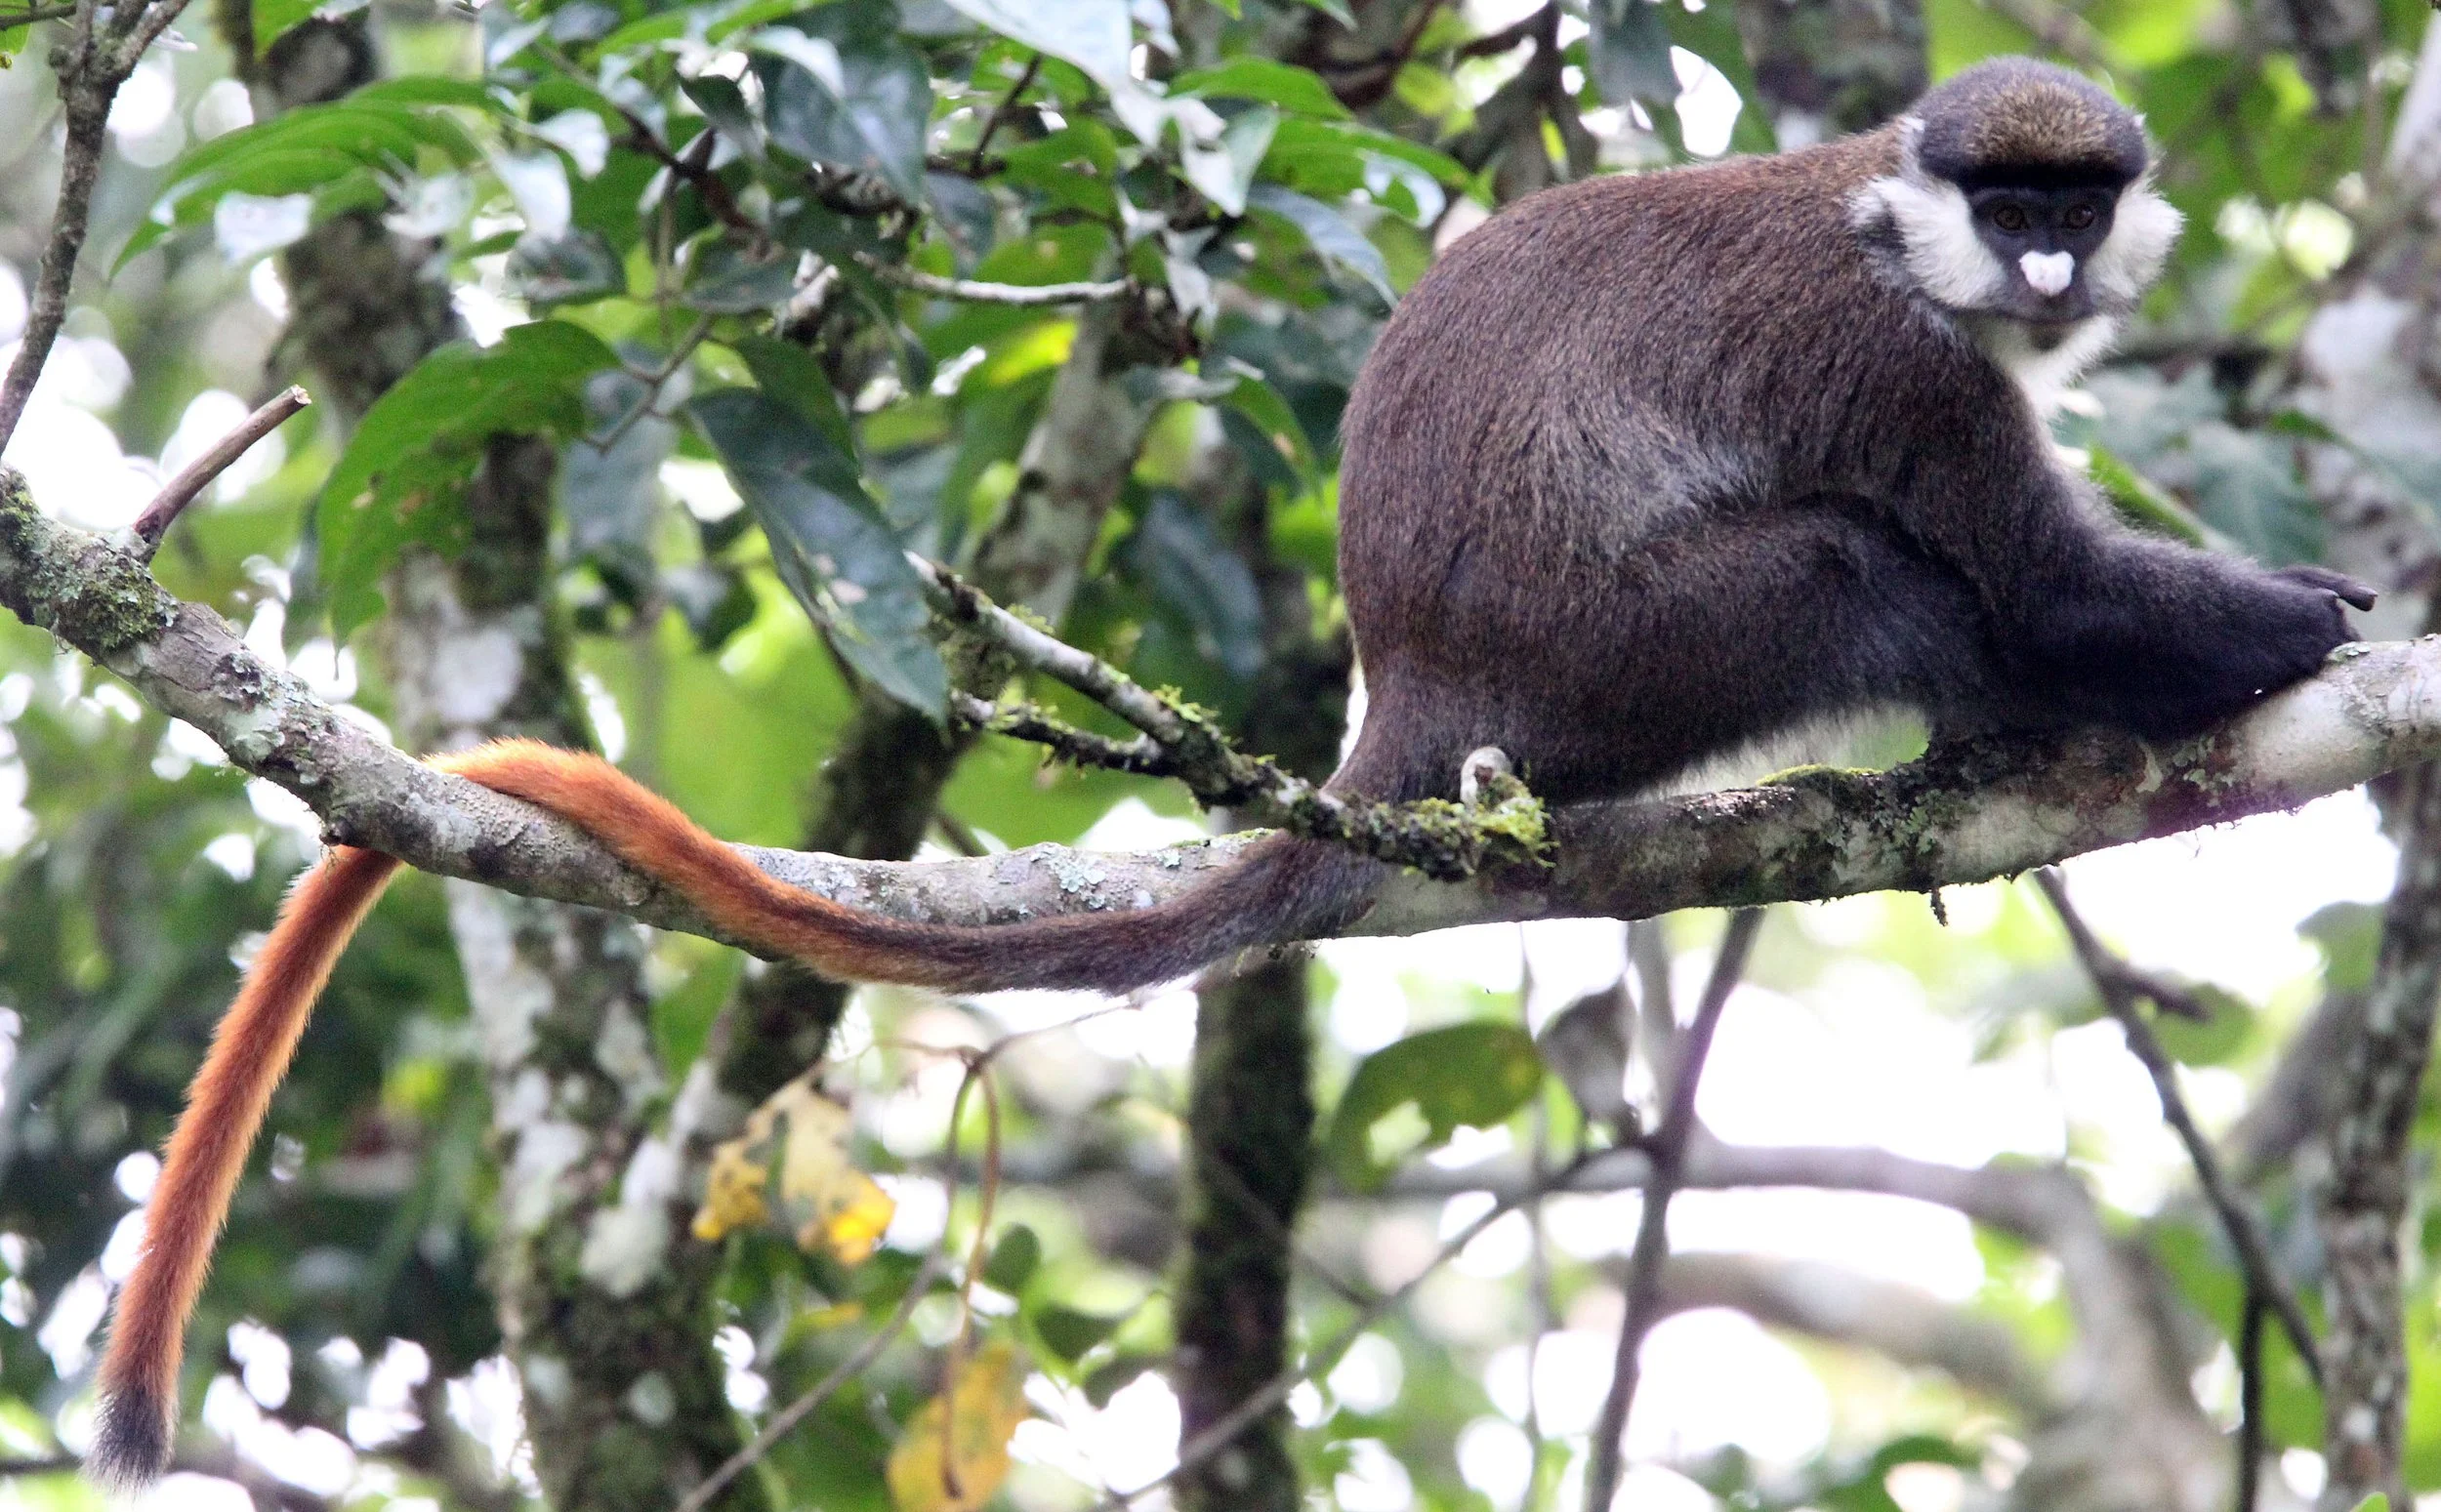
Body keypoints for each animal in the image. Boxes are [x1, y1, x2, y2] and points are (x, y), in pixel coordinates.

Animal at [91, 56, 2374, 1484]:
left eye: (2076, 197)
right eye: (2012, 202)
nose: (2053, 267)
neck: (1903, 238)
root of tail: (1407, 690)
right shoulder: (1908, 370)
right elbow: (2038, 572)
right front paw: (2293, 626)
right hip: (1651, 646)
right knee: (1881, 577)